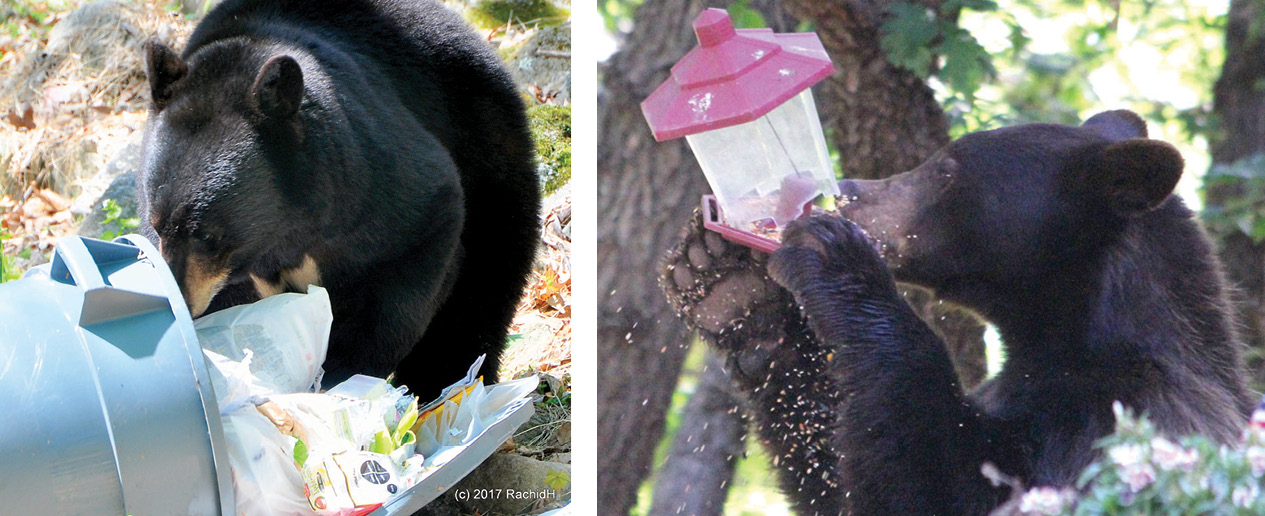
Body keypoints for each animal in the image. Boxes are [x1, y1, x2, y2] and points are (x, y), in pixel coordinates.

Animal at [138, 0, 539, 397]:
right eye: (157, 226)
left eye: (207, 235)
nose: (182, 302)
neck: (285, 233)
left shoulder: (373, 186)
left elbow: (413, 255)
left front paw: (339, 375)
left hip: (485, 138)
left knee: (489, 269)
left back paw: (447, 381)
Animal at [662, 110, 1255, 515]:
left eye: (946, 170)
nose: (846, 191)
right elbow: (837, 471)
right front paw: (730, 289)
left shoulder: (1124, 420)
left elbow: (940, 485)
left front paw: (833, 253)